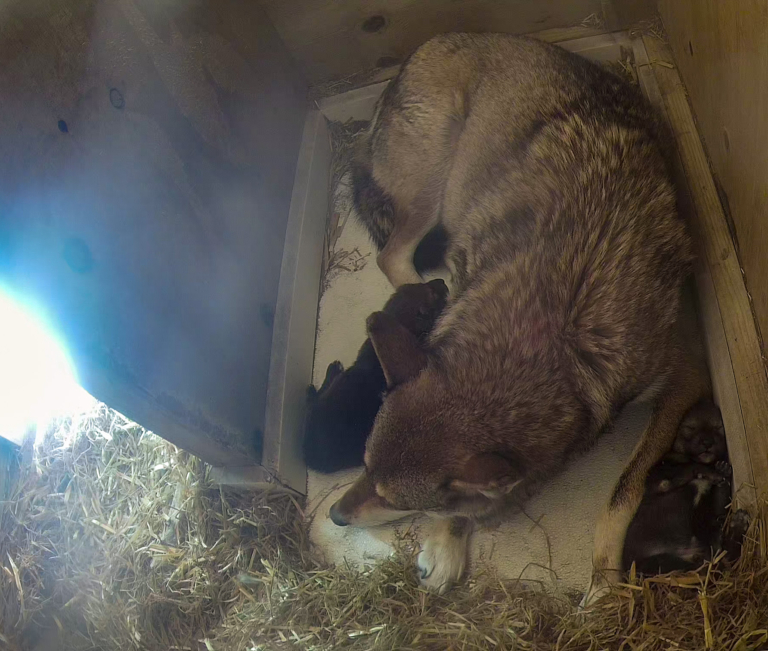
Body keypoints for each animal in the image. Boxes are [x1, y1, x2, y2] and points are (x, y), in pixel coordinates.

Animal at [330, 33, 709, 605]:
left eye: (393, 497)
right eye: (365, 465)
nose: (334, 515)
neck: (555, 329)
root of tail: (425, 48)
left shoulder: (683, 377)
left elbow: (623, 492)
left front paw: (604, 578)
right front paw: (445, 547)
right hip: (432, 184)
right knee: (392, 256)